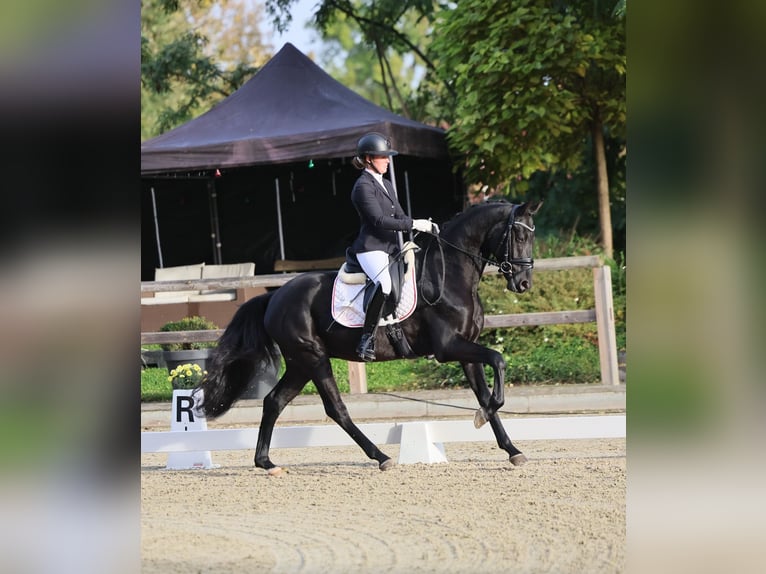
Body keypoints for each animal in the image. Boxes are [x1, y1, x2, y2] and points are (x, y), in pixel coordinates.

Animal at [197, 200, 542, 475]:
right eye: (519, 235)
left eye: (532, 236)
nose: (524, 283)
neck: (450, 275)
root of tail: (275, 296)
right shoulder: (449, 348)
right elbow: (498, 360)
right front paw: (482, 418)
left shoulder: (465, 351)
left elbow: (486, 391)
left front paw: (512, 449)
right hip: (313, 358)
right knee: (335, 409)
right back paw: (381, 457)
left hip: (299, 364)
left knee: (274, 401)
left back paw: (266, 462)